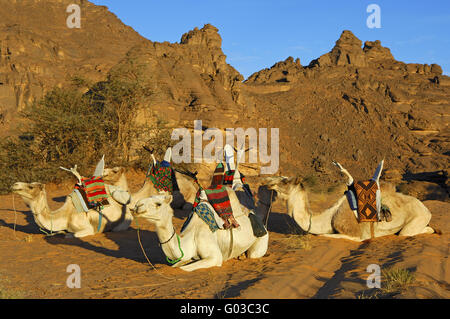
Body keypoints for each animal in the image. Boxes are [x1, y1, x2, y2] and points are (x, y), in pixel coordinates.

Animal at [132, 189, 268, 274]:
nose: (137, 205)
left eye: (158, 204)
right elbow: (176, 266)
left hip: (262, 241)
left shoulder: (214, 256)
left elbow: (183, 269)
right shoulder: (185, 257)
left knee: (253, 254)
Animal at [266, 162, 434, 242]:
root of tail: (426, 209)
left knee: (414, 232)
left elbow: (322, 236)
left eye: (285, 181)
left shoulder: (356, 235)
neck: (329, 217)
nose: (269, 181)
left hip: (417, 219)